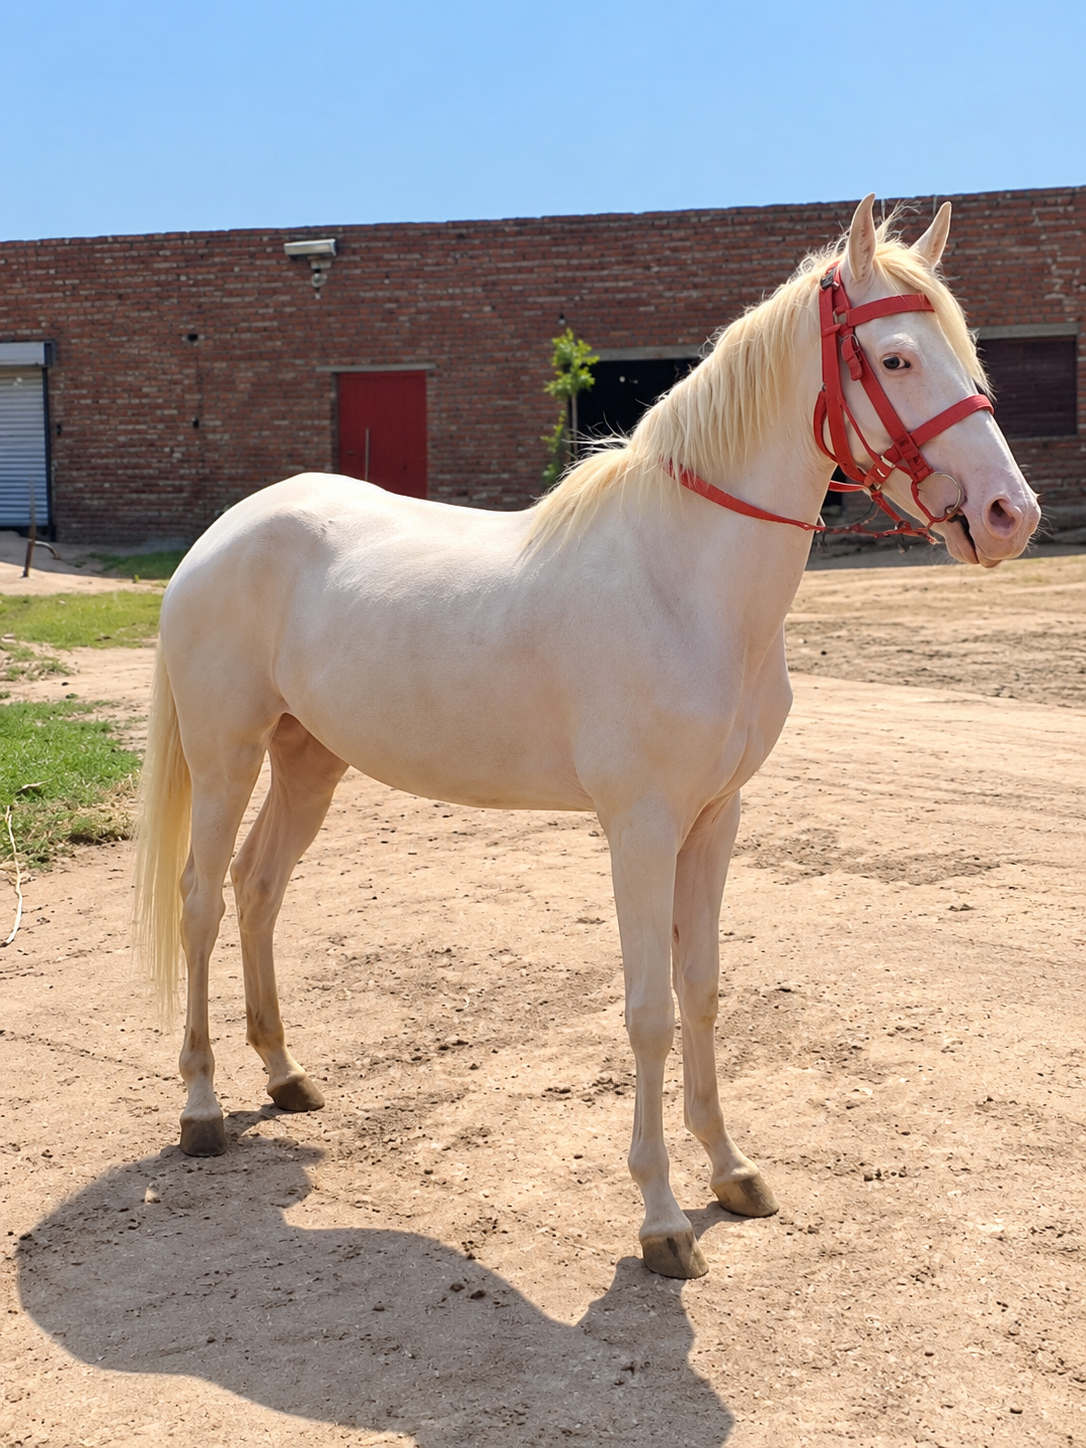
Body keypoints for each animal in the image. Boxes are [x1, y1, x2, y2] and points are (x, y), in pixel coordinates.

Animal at [134, 195, 1040, 1279]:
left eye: (967, 351)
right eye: (897, 358)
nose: (1011, 514)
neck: (682, 580)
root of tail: (226, 532)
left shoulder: (715, 821)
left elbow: (701, 988)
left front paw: (731, 1170)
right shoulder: (640, 829)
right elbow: (648, 1011)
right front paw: (660, 1218)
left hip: (309, 757)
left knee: (258, 886)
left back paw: (284, 1073)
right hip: (225, 754)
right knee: (199, 900)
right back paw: (200, 1106)